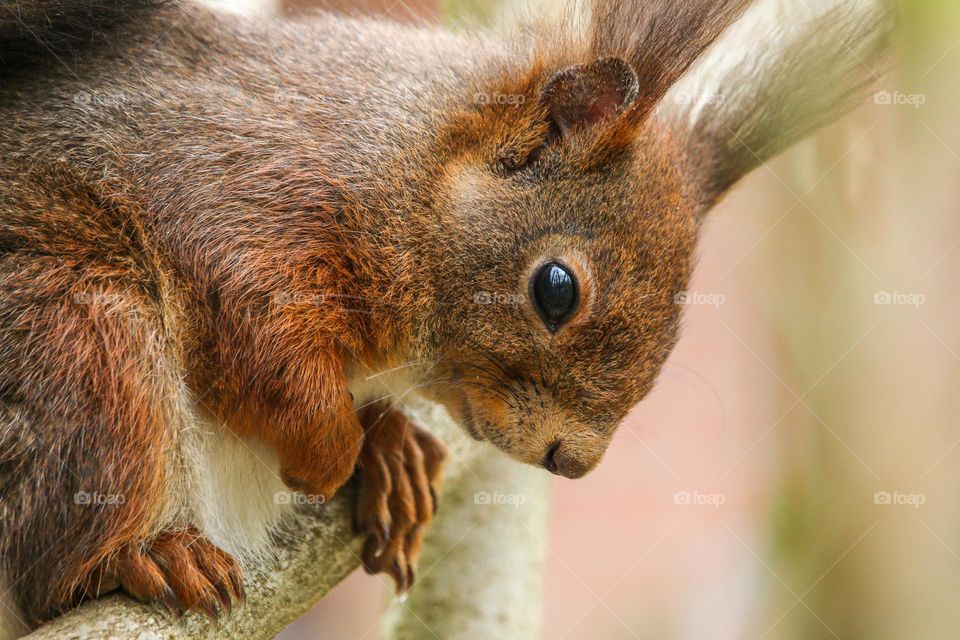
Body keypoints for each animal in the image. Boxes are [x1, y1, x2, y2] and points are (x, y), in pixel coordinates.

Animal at [0, 0, 889, 629]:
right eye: (556, 288)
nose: (573, 461)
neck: (415, 169)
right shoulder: (242, 197)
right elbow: (258, 336)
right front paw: (335, 450)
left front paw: (387, 446)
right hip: (79, 335)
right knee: (54, 551)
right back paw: (138, 556)